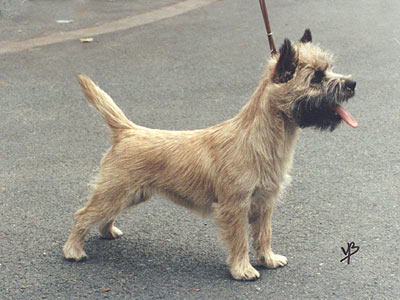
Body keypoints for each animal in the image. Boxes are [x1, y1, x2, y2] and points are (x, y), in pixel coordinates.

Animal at [64, 29, 358, 280]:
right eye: (317, 77)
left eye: (329, 68)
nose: (352, 83)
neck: (260, 140)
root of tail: (127, 131)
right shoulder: (235, 206)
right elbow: (240, 240)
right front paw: (243, 269)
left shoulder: (265, 203)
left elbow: (264, 234)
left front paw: (268, 259)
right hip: (114, 192)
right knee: (82, 214)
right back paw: (73, 250)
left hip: (130, 194)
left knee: (101, 215)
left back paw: (108, 232)